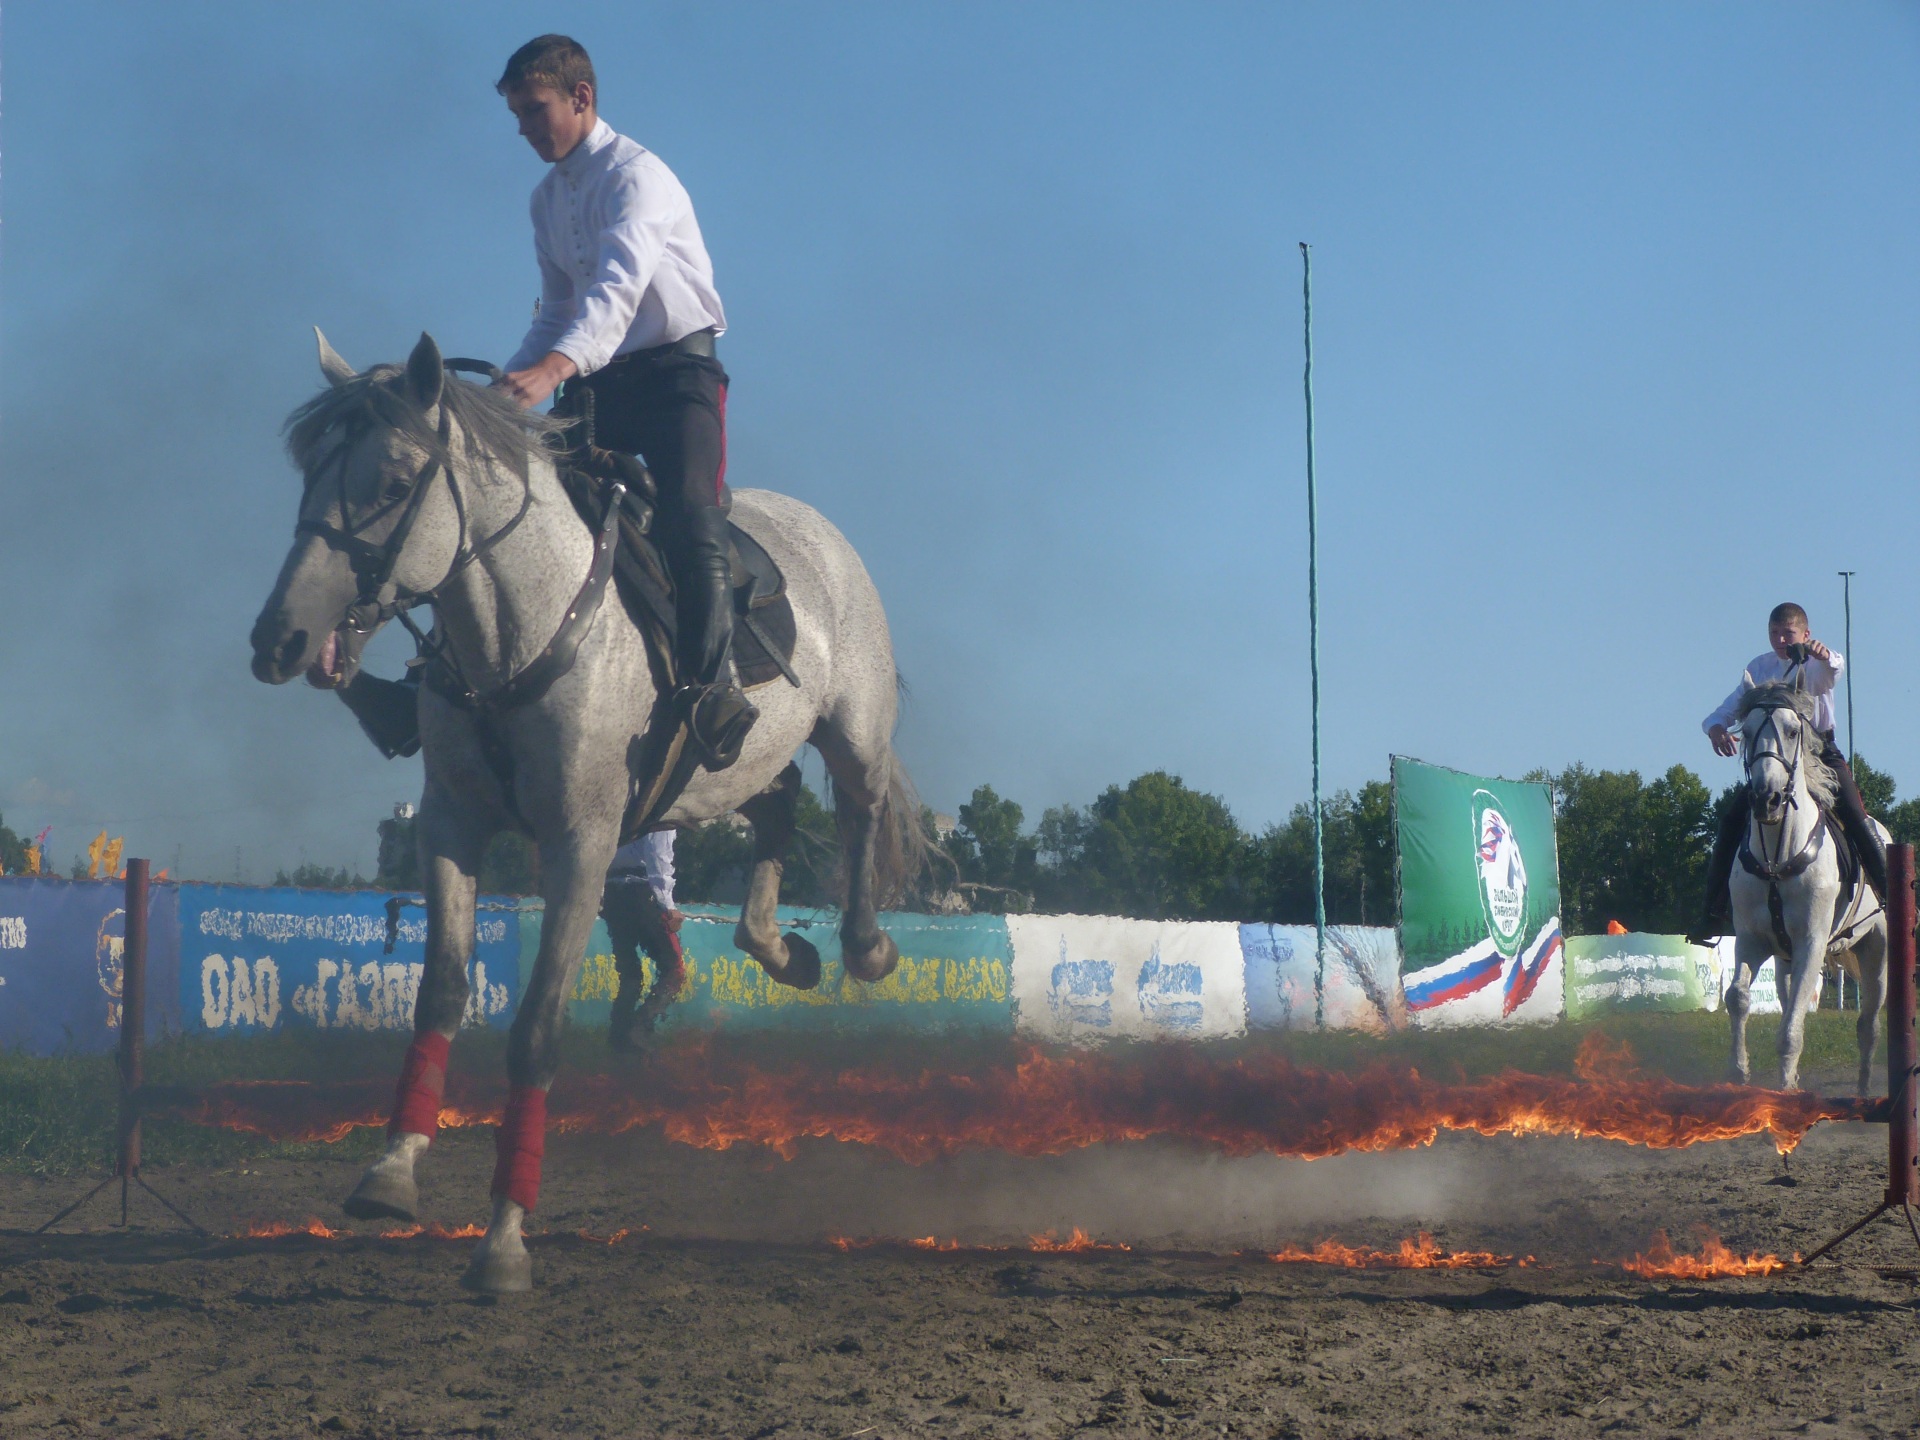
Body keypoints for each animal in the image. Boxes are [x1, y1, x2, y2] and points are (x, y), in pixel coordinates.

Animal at [250, 331, 927, 1291]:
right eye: (309, 472)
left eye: (393, 481)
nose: (279, 639)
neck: (522, 628)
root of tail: (823, 536)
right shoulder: (451, 825)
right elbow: (440, 994)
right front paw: (391, 1171)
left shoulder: (581, 843)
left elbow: (537, 1031)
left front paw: (503, 1240)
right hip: (735, 764)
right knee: (779, 804)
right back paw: (778, 947)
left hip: (854, 730)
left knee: (860, 809)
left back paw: (863, 948)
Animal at [1724, 682, 1888, 1094]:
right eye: (1746, 731)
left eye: (1793, 730)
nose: (1766, 798)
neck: (1776, 861)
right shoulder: (1751, 940)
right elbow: (1738, 997)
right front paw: (1739, 1072)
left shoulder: (1811, 945)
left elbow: (1789, 1030)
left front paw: (1784, 1089)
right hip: (1784, 957)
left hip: (1876, 951)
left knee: (1869, 1025)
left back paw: (1864, 1091)